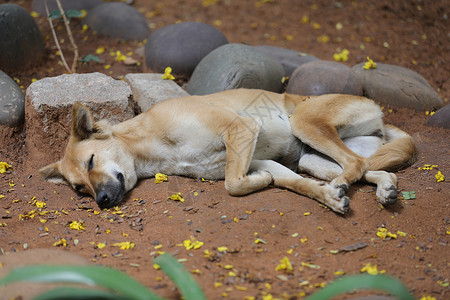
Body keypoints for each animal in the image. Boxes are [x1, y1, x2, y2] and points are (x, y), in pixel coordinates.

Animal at [38, 88, 414, 212]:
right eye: (79, 190)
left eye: (91, 161)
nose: (101, 201)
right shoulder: (261, 158)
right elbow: (295, 184)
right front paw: (328, 199)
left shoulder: (240, 129)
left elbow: (233, 185)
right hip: (312, 157)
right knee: (368, 166)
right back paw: (383, 187)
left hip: (305, 122)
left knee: (354, 164)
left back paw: (346, 184)